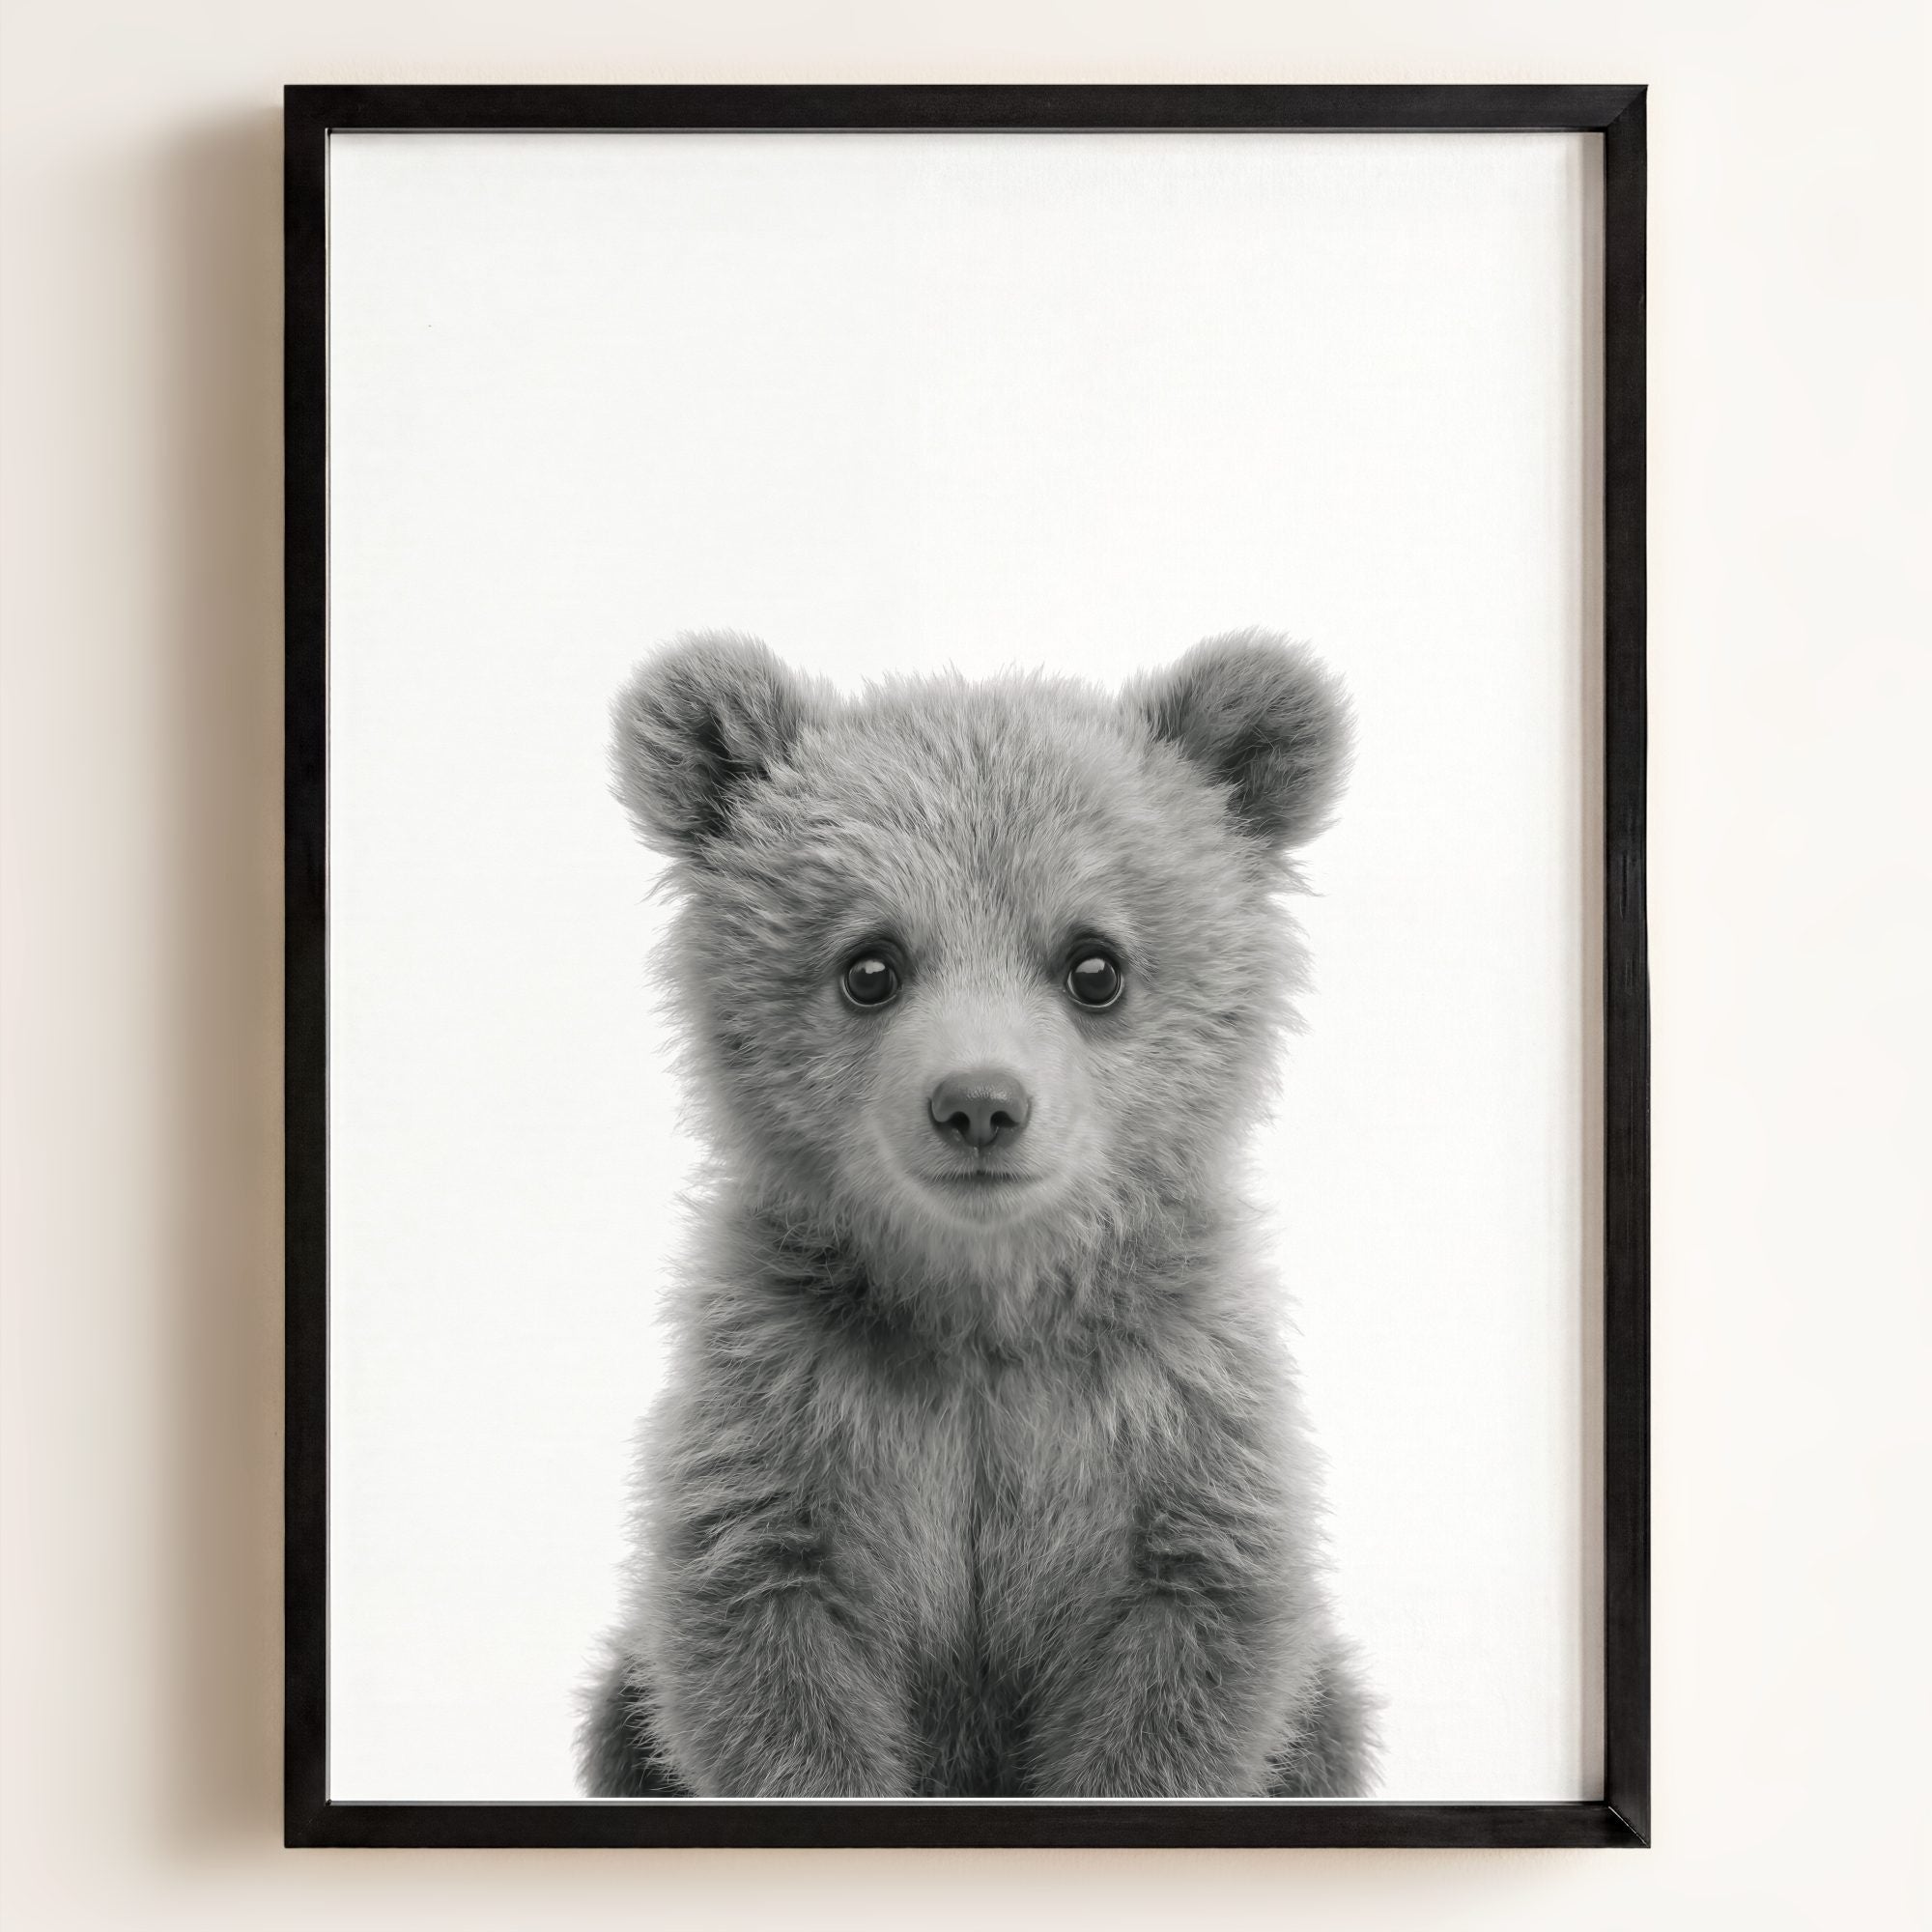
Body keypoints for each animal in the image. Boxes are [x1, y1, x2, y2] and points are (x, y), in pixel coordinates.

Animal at [579, 628, 1377, 1799]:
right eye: (869, 964)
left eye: (1094, 963)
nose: (980, 1104)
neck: (980, 1309)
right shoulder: (788, 1413)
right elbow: (766, 1656)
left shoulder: (1170, 1422)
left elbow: (1185, 1663)